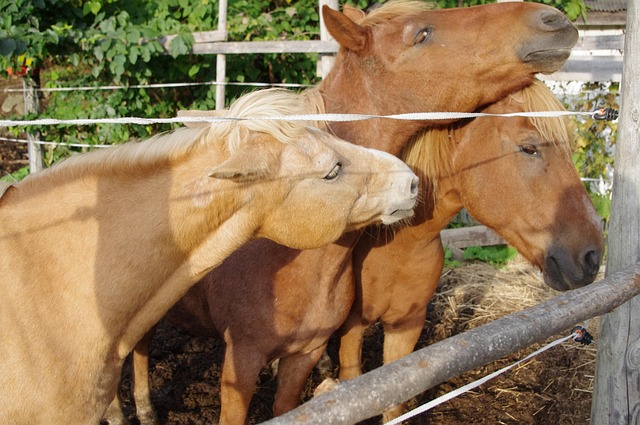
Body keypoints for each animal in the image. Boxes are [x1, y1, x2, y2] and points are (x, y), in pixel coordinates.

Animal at [337, 79, 605, 421]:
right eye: (529, 147)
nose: (592, 256)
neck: (397, 245)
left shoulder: (405, 329)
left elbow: (394, 408)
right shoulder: (352, 327)